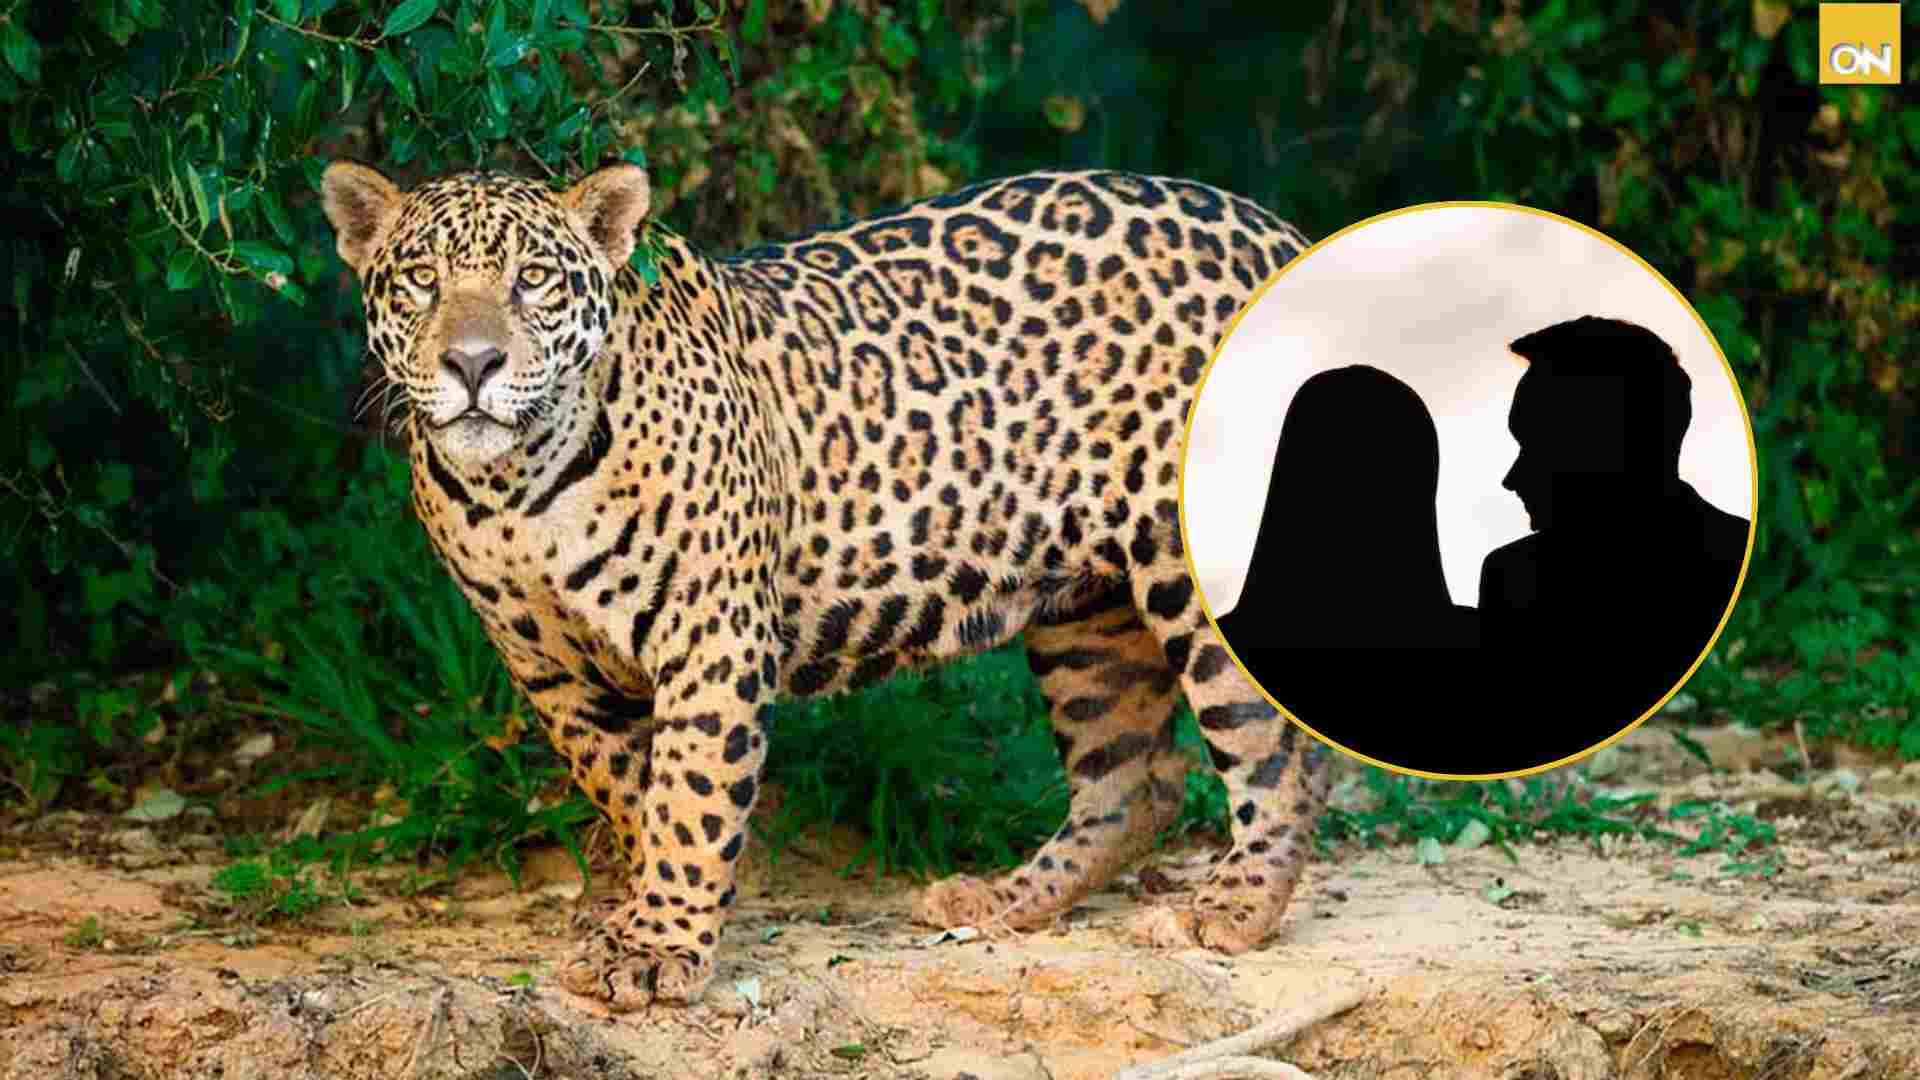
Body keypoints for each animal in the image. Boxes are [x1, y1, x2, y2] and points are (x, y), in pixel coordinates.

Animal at [320, 159, 1333, 1012]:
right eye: (420, 281)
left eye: (534, 279)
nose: (473, 364)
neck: (515, 486)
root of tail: (1275, 231)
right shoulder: (551, 673)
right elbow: (634, 793)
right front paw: (647, 916)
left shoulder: (711, 632)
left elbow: (691, 792)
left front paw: (657, 947)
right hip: (1088, 605)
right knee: (1134, 782)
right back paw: (1004, 899)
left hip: (1196, 563)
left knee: (1281, 754)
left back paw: (1229, 910)